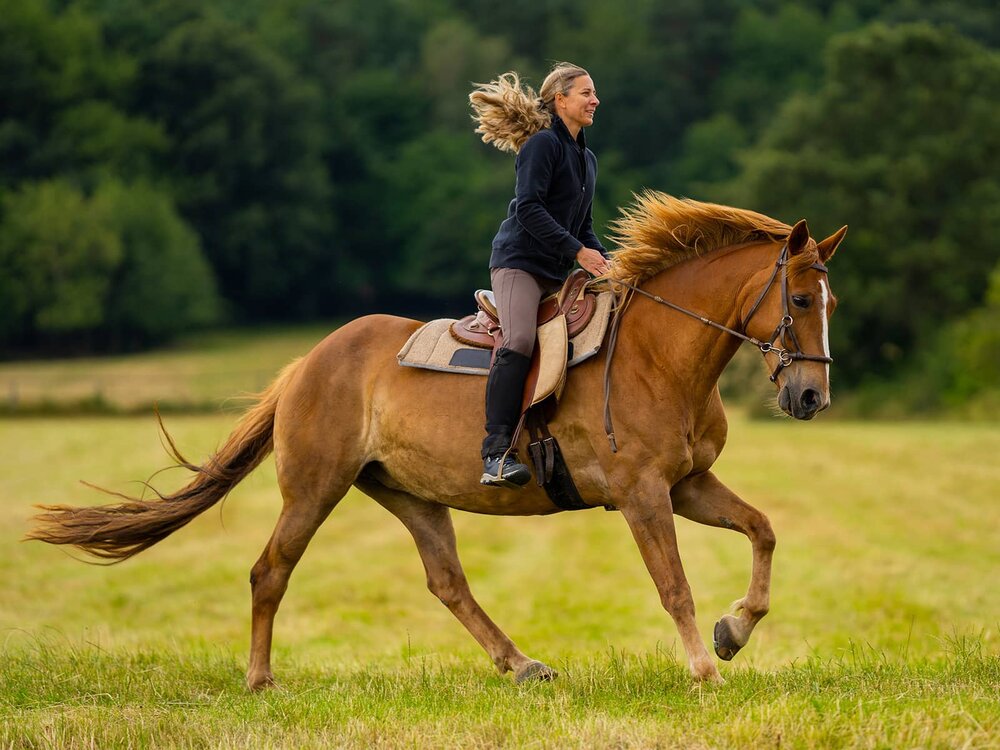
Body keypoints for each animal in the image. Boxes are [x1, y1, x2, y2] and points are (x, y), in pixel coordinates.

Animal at [27, 194, 848, 692]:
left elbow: (763, 531)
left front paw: (733, 631)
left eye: (830, 301)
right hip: (315, 488)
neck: (659, 351)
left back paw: (522, 665)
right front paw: (705, 669)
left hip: (412, 496)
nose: (811, 397)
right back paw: (260, 680)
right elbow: (673, 583)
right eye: (799, 297)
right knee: (269, 572)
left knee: (447, 583)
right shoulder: (643, 494)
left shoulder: (686, 485)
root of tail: (307, 363)